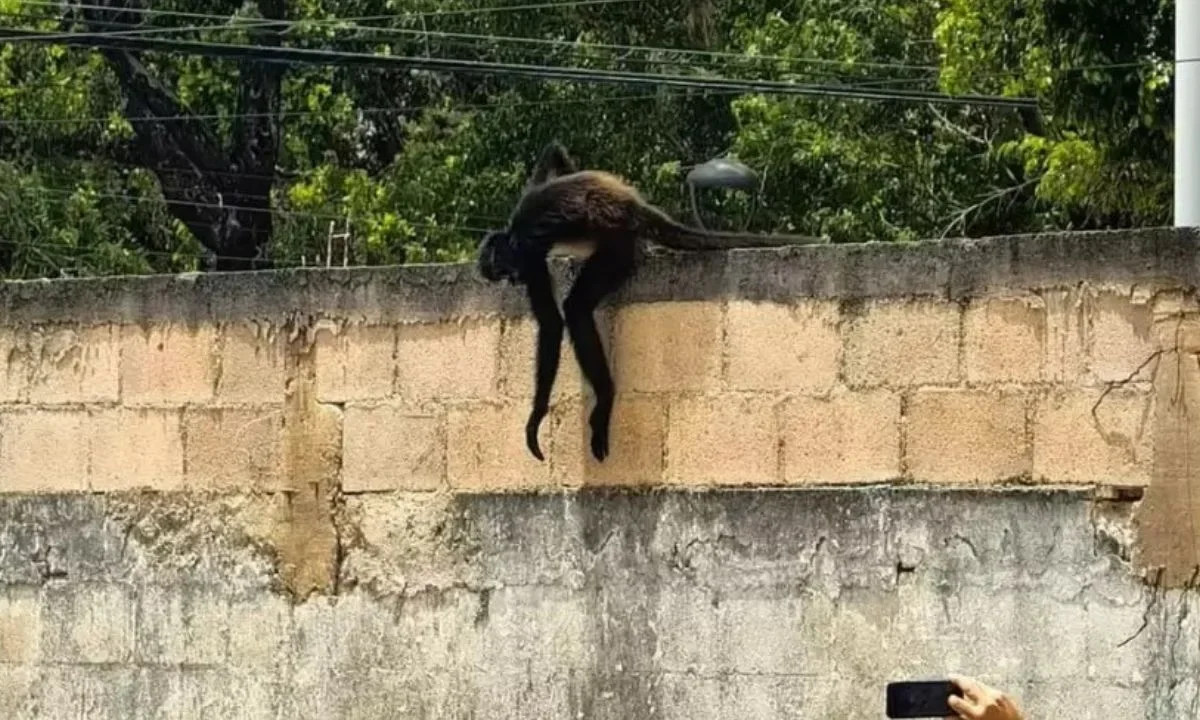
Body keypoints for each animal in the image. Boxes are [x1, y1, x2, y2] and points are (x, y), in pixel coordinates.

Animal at [477, 142, 823, 463]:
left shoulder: (528, 250)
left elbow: (551, 323)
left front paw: (535, 419)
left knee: (576, 309)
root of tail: (631, 206)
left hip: (616, 244)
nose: (513, 280)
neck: (513, 232)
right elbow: (553, 153)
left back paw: (605, 396)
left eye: (505, 270)